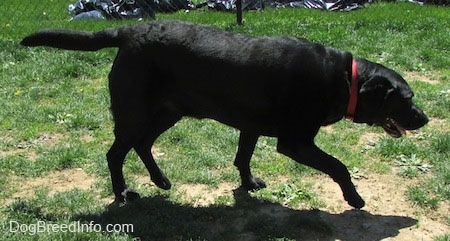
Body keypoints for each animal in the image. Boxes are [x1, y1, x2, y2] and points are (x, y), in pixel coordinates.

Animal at [22, 20, 428, 209]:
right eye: (406, 99)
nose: (424, 119)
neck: (344, 79)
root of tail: (130, 30)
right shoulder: (294, 141)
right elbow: (339, 166)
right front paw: (355, 199)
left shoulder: (251, 126)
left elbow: (243, 156)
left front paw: (247, 184)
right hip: (134, 112)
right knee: (115, 152)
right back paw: (123, 192)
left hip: (168, 112)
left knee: (143, 144)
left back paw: (161, 180)